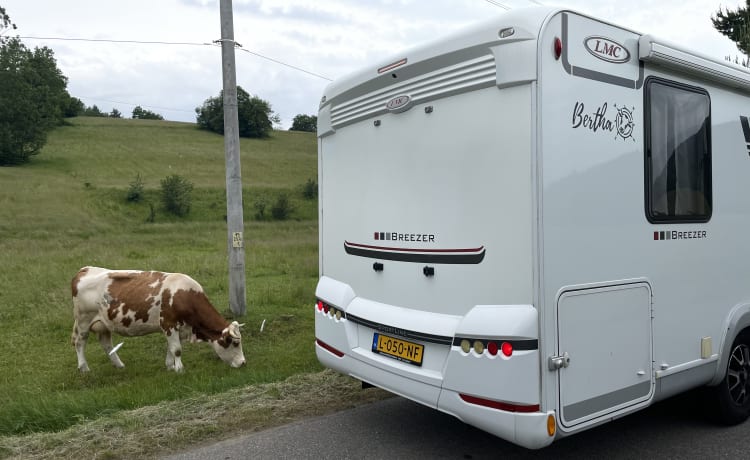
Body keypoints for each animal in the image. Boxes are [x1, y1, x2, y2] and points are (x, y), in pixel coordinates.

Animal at [72, 268, 245, 372]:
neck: (184, 296)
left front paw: (170, 366)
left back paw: (119, 365)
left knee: (106, 344)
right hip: (83, 321)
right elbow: (177, 349)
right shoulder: (169, 324)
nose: (243, 363)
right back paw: (84, 367)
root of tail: (84, 270)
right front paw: (180, 369)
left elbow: (171, 347)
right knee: (80, 342)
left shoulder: (179, 328)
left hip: (104, 324)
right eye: (235, 343)